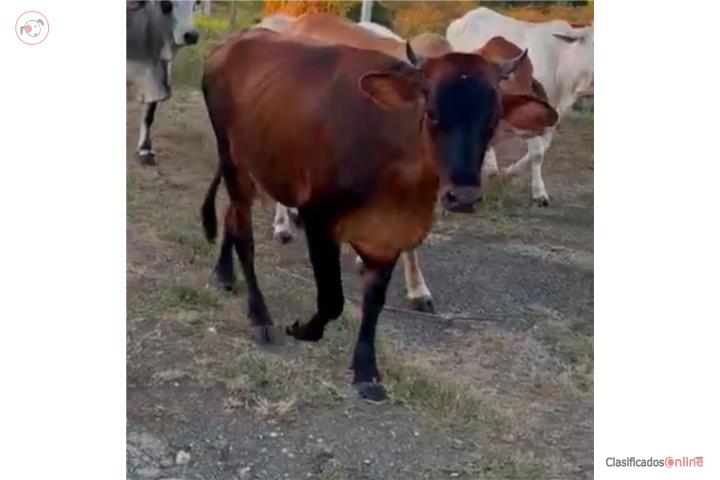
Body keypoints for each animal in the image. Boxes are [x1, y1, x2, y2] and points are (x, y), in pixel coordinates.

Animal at [126, 0, 201, 165]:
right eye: (166, 4)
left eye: (197, 3)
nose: (191, 36)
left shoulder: (154, 81)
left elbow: (148, 117)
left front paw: (145, 150)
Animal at [200, 28, 552, 400]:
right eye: (432, 113)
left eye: (492, 121)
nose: (463, 196)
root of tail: (235, 40)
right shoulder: (318, 217)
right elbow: (332, 299)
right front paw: (302, 329)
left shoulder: (392, 235)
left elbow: (374, 303)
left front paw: (366, 371)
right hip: (233, 160)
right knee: (245, 236)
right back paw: (259, 317)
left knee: (231, 217)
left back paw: (224, 274)